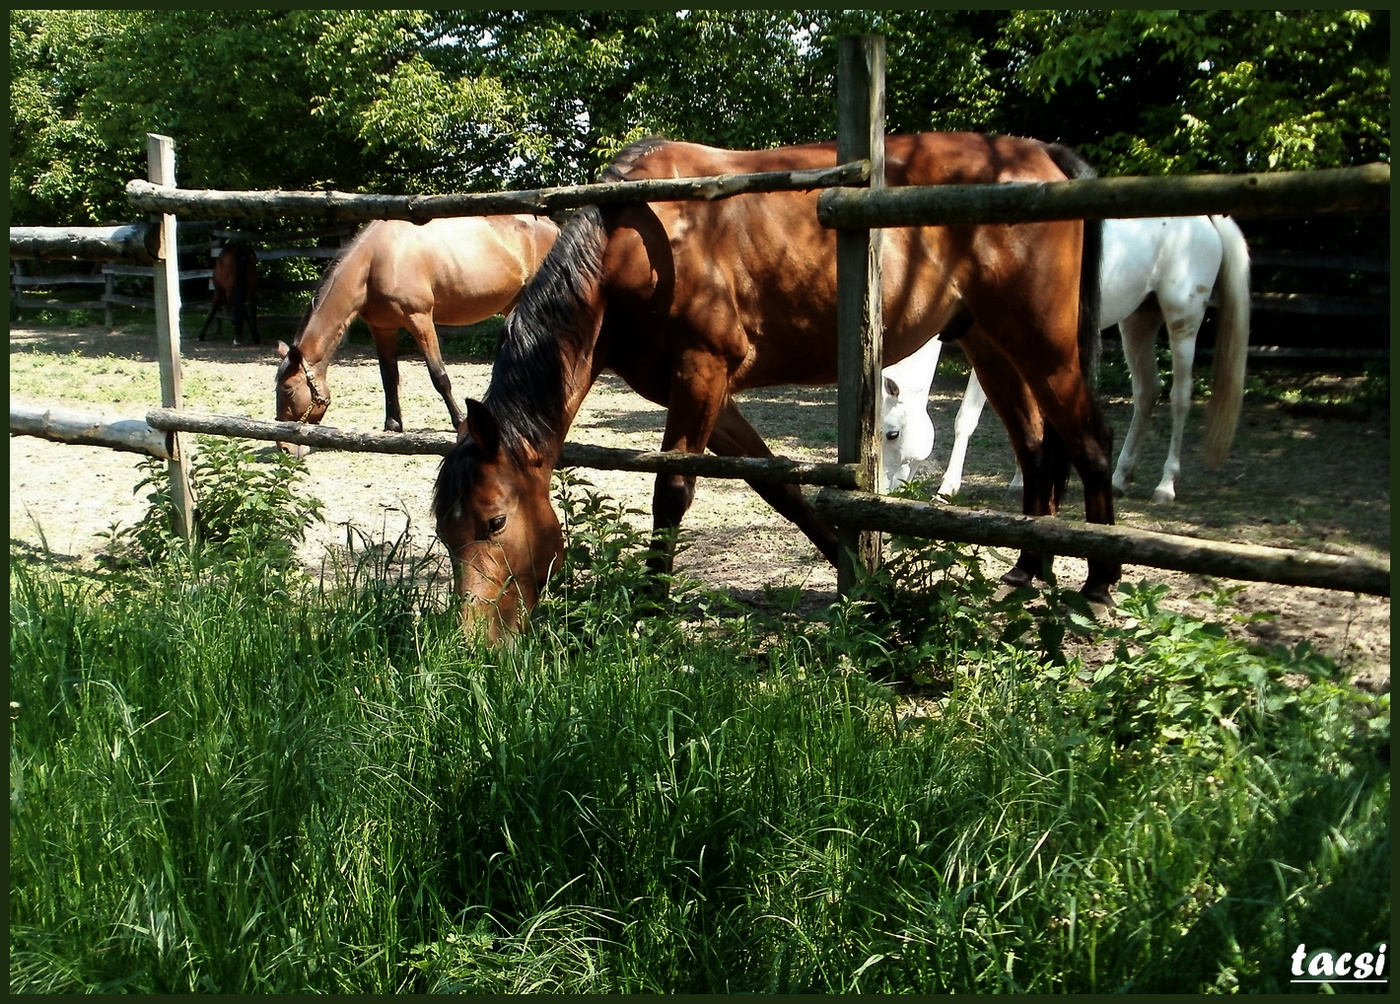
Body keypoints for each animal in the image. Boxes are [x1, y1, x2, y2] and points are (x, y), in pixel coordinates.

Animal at [273, 215, 557, 439]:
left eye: (288, 390)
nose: (284, 442)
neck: (376, 261)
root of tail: (551, 225)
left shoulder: (420, 320)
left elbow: (439, 376)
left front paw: (460, 421)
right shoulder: (382, 328)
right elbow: (389, 376)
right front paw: (393, 424)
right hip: (513, 303)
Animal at [431, 130, 1108, 641]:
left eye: (494, 522)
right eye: (443, 529)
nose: (473, 647)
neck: (639, 236)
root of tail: (1043, 154)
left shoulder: (701, 373)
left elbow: (671, 493)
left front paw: (650, 607)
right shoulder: (709, 393)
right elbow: (781, 489)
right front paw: (867, 586)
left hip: (1042, 345)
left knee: (1089, 441)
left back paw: (1099, 585)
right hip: (990, 346)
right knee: (1036, 448)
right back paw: (1028, 570)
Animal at [879, 217, 1254, 504]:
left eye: (892, 434)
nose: (881, 490)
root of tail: (1206, 220)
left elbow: (967, 419)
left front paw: (948, 486)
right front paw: (1021, 481)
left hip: (1182, 321)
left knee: (1180, 398)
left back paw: (1165, 486)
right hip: (1139, 321)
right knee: (1147, 391)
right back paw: (1120, 477)